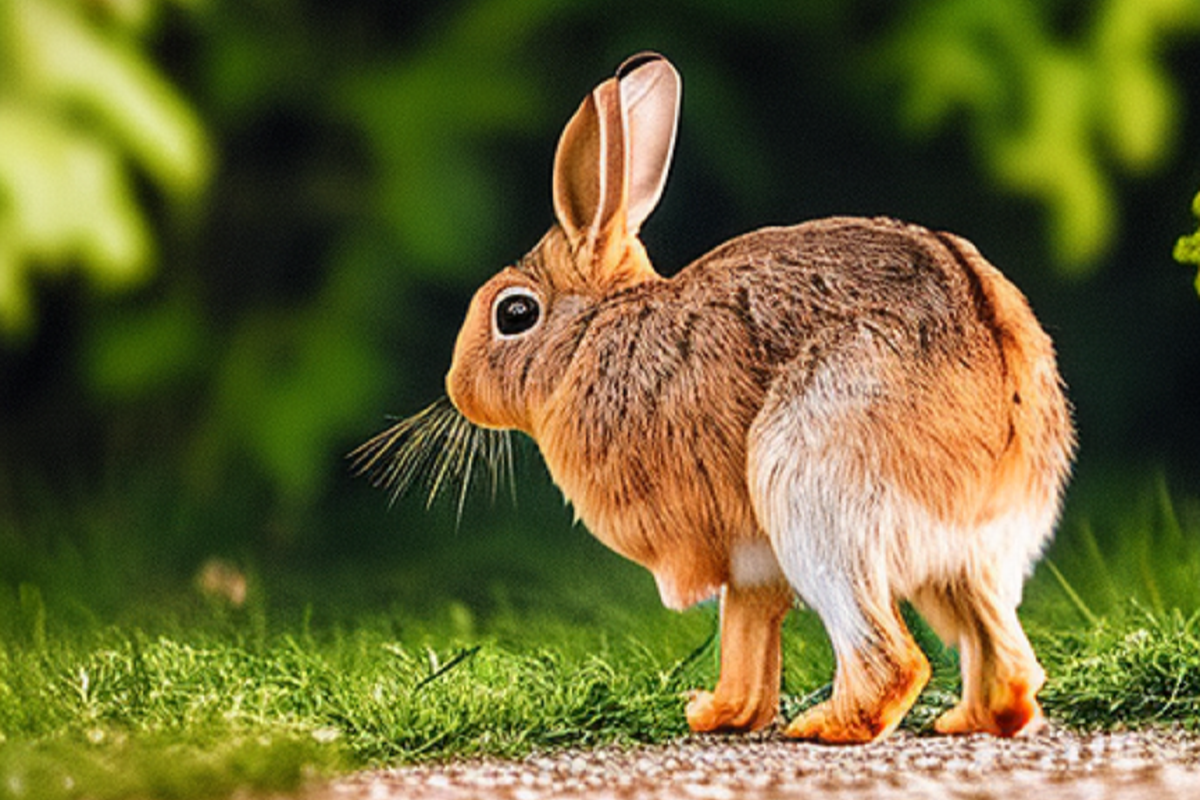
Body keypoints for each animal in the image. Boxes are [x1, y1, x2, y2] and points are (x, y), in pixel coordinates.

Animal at [391, 53, 1070, 743]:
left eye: (515, 313)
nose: (456, 388)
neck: (590, 335)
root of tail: (1003, 442)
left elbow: (744, 630)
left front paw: (714, 715)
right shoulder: (751, 563)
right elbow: (748, 635)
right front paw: (719, 714)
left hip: (816, 503)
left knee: (892, 660)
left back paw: (824, 727)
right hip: (959, 565)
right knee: (1008, 667)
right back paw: (963, 721)